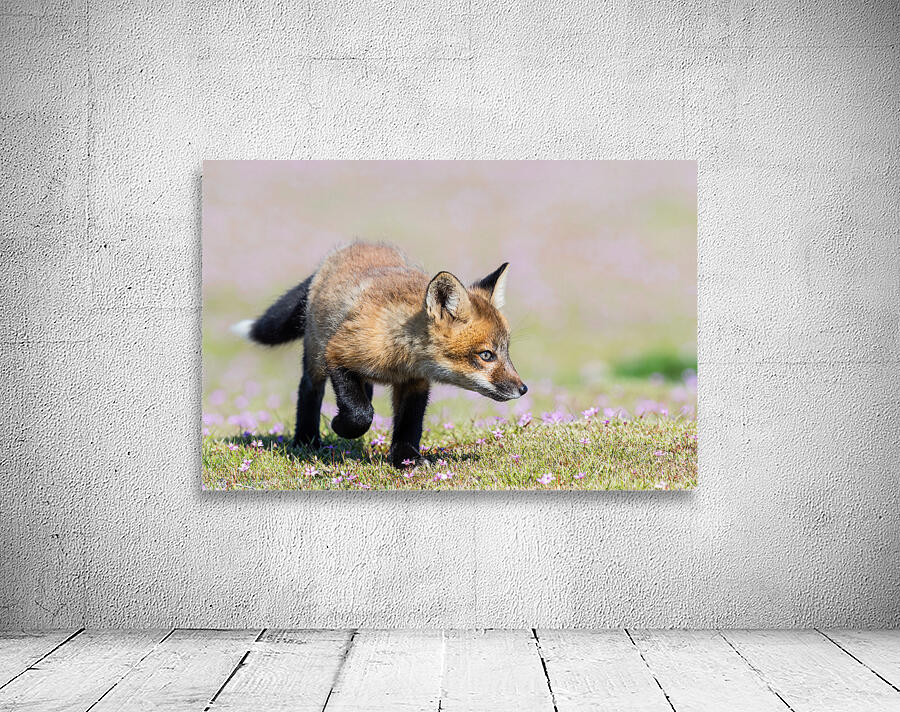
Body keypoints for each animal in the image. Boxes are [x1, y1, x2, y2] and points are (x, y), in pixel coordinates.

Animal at [231, 242, 527, 468]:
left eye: (506, 350)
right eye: (486, 355)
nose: (523, 389)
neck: (400, 359)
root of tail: (351, 246)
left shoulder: (415, 383)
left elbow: (409, 425)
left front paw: (407, 460)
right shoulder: (337, 354)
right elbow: (360, 414)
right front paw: (339, 426)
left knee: (365, 390)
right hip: (315, 355)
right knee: (309, 390)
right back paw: (307, 440)